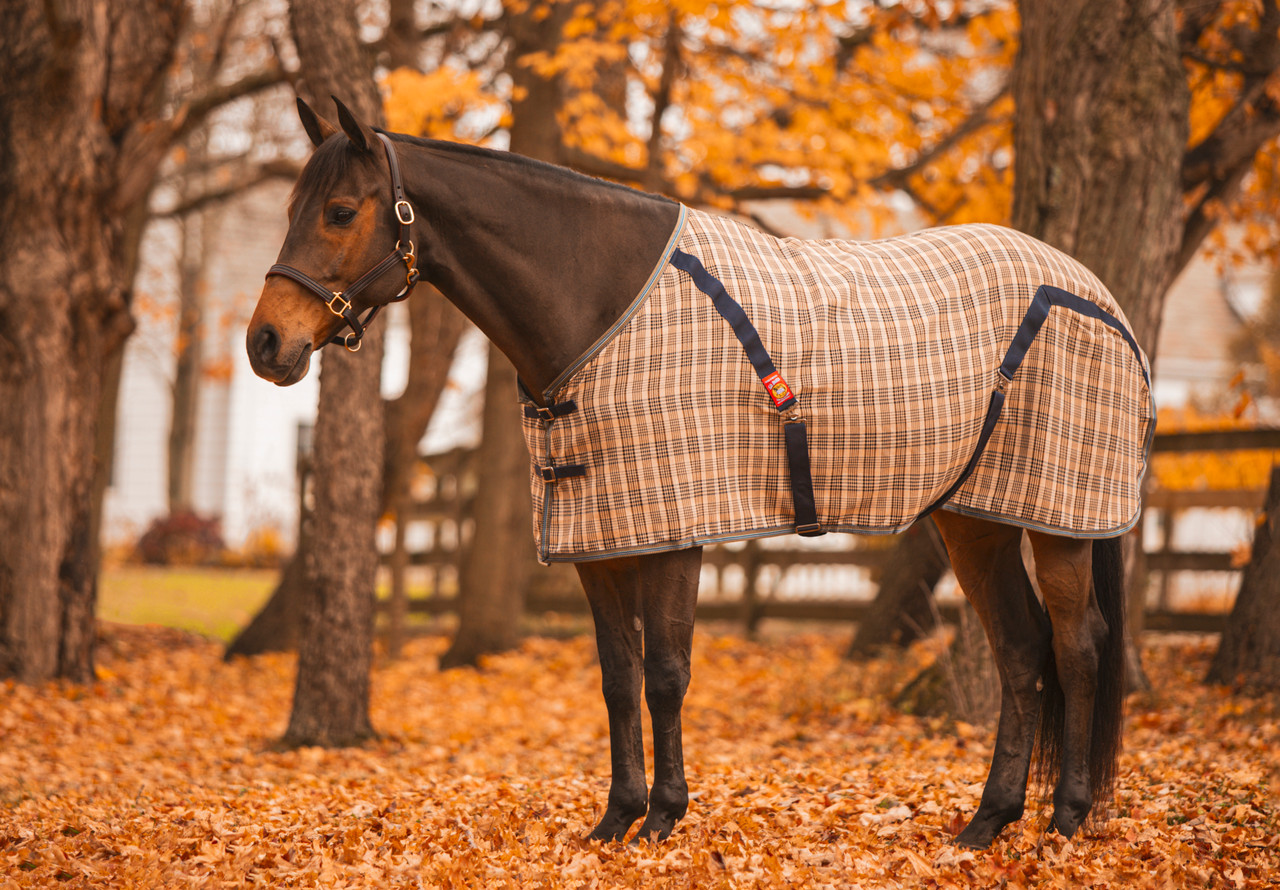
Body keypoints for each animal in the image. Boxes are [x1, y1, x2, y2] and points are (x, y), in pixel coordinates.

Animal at [241, 97, 1152, 850]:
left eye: (340, 211)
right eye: (288, 211)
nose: (265, 345)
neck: (602, 310)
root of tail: (1098, 296)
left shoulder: (675, 533)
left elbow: (666, 676)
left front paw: (664, 818)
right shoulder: (602, 539)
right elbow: (617, 680)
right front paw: (616, 818)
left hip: (1059, 519)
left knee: (1078, 645)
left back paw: (1065, 820)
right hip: (978, 520)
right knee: (1021, 651)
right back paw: (987, 822)